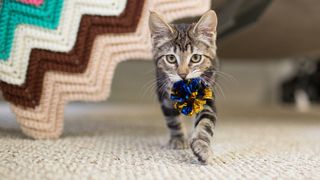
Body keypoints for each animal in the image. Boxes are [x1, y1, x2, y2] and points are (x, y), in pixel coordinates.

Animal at [149, 10, 219, 165]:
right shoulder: (164, 96)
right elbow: (172, 120)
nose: (182, 74)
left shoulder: (207, 95)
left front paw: (202, 147)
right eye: (171, 58)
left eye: (195, 58)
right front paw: (178, 139)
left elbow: (205, 122)